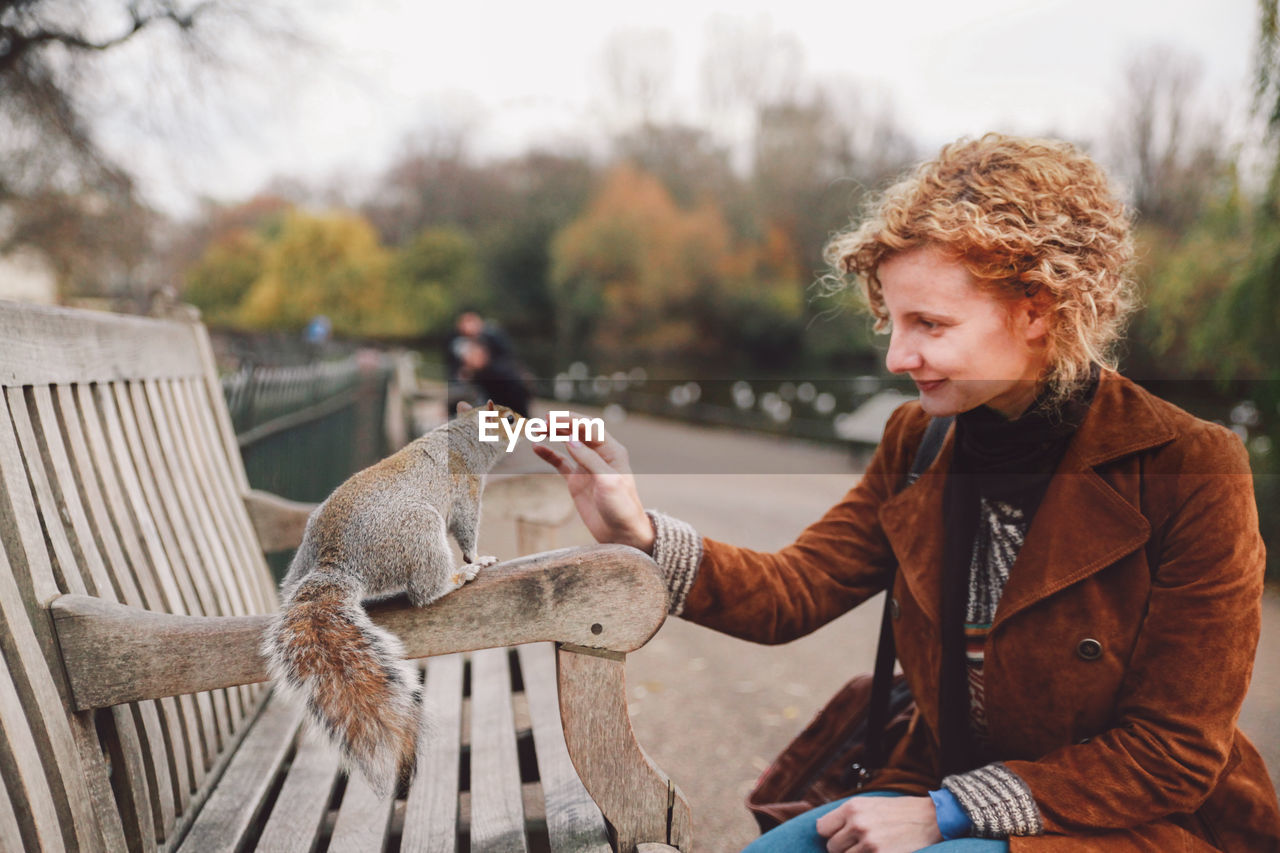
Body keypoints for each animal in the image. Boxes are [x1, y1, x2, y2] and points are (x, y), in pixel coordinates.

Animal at [262, 402, 522, 794]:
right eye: (508, 419)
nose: (530, 424)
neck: (463, 436)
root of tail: (338, 562)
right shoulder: (466, 490)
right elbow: (467, 531)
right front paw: (477, 558)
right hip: (421, 531)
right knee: (425, 592)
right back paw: (456, 578)